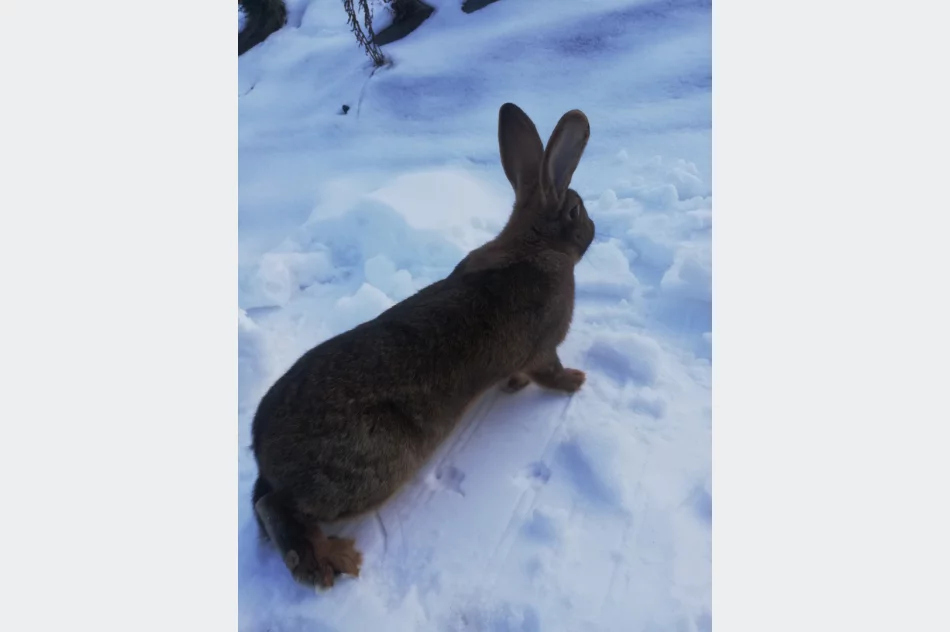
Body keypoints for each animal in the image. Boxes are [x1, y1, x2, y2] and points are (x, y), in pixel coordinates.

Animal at [249, 102, 600, 588]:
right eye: (575, 210)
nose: (596, 228)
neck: (535, 244)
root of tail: (262, 452)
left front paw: (513, 387)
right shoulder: (545, 347)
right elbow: (549, 371)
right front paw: (576, 381)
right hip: (371, 468)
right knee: (277, 507)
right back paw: (331, 560)